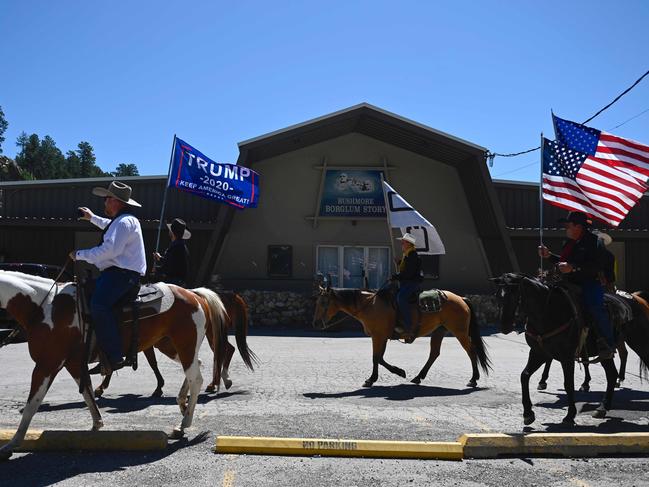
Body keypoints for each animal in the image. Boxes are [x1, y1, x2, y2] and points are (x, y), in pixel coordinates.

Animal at [0, 270, 228, 462]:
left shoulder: (47, 364)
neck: (45, 307)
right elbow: (88, 393)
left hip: (184, 344)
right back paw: (182, 405)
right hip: (169, 346)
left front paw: (12, 444)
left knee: (195, 378)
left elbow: (32, 404)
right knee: (196, 367)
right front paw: (96, 425)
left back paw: (183, 423)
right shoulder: (72, 363)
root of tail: (194, 294)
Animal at [93, 292, 256, 398]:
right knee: (228, 349)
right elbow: (152, 363)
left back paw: (216, 382)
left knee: (222, 352)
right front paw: (159, 386)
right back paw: (222, 380)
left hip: (213, 335)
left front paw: (101, 387)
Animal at [314, 286, 492, 388]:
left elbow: (376, 358)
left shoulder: (378, 336)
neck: (370, 305)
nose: (315, 323)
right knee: (434, 354)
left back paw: (473, 379)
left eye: (323, 302)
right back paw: (418, 377)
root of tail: (461, 298)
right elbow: (379, 358)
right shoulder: (381, 337)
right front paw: (397, 372)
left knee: (471, 351)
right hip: (439, 331)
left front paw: (372, 379)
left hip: (459, 332)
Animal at [492, 274, 648, 428]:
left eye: (515, 296)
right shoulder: (538, 353)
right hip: (606, 352)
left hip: (639, 342)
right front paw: (528, 413)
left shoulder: (566, 357)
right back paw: (603, 407)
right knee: (611, 374)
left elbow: (568, 384)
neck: (548, 312)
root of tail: (635, 298)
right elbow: (524, 376)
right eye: (498, 296)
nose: (504, 326)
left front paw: (570, 415)